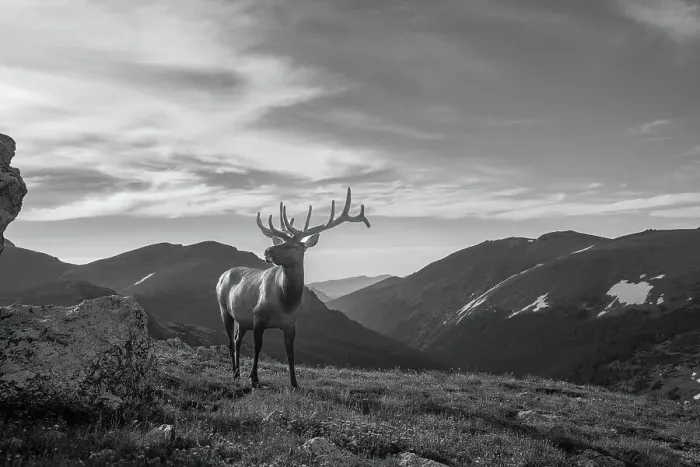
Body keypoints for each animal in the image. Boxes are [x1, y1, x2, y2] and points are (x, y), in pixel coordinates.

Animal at [216, 187, 370, 389]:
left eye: (295, 246)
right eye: (280, 242)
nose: (267, 251)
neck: (286, 301)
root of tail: (222, 275)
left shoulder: (291, 323)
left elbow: (290, 352)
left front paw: (295, 383)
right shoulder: (258, 316)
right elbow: (258, 347)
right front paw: (254, 379)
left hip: (243, 319)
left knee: (236, 339)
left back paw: (237, 373)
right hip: (224, 309)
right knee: (230, 341)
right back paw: (235, 374)